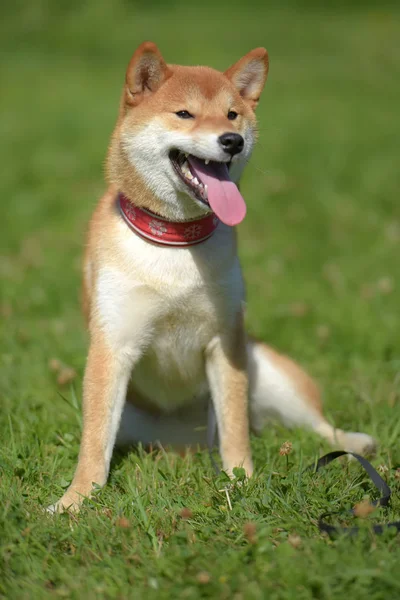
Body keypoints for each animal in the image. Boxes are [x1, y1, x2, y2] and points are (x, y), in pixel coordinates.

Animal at [49, 41, 376, 510]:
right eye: (184, 114)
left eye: (232, 114)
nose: (232, 141)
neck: (176, 242)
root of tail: (185, 441)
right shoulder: (114, 343)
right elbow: (94, 442)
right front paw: (75, 501)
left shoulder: (226, 343)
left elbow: (235, 429)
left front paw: (242, 481)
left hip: (269, 372)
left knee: (313, 425)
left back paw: (353, 443)